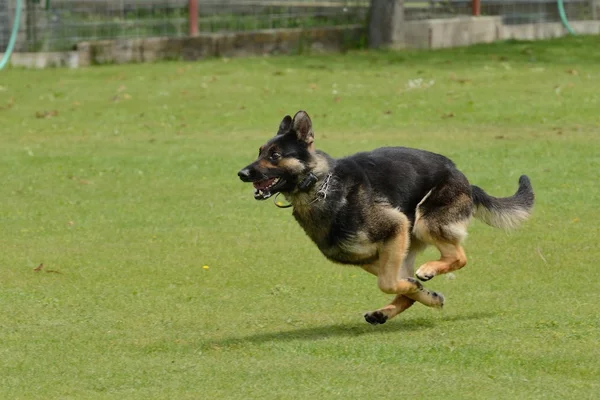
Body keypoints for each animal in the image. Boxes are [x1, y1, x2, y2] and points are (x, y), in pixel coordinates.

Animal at [239, 111, 536, 324]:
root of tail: (464, 179)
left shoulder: (395, 227)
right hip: (405, 244)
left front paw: (417, 286)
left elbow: (388, 283)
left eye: (275, 155)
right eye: (259, 152)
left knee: (458, 257)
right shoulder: (369, 256)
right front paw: (423, 294)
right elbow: (397, 284)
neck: (320, 185)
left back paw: (427, 271)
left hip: (424, 223)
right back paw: (392, 308)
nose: (241, 173)